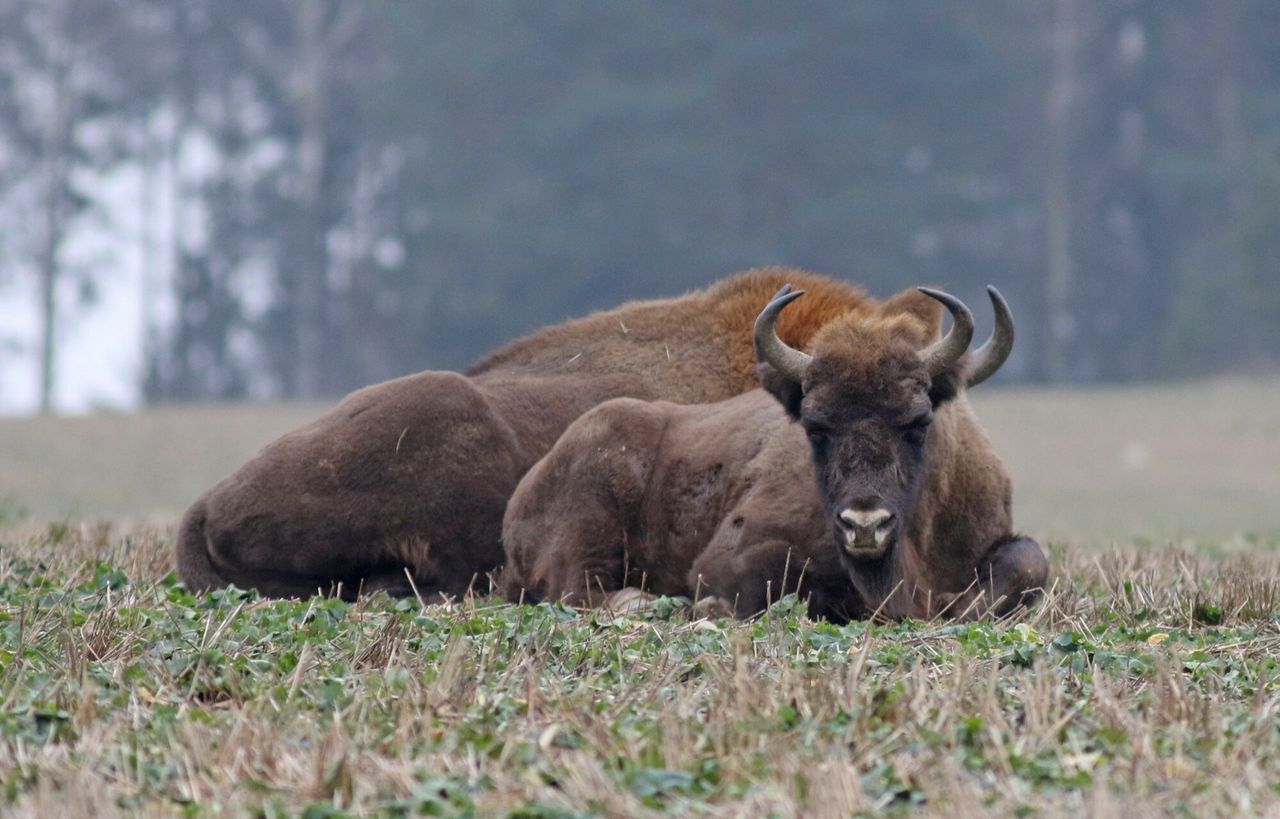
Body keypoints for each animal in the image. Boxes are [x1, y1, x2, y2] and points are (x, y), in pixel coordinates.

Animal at [501, 282, 1049, 619]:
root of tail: (527, 487)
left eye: (918, 422)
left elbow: (1028, 562)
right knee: (575, 588)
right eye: (814, 426)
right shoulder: (735, 554)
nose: (864, 524)